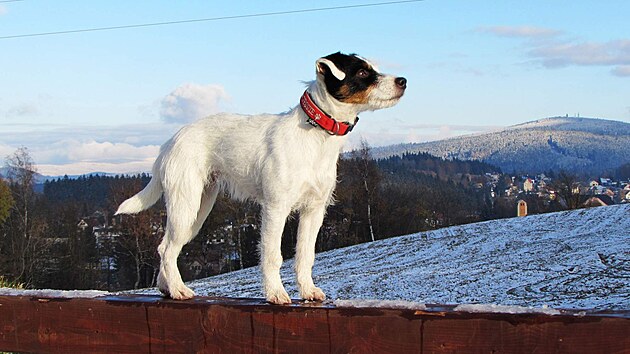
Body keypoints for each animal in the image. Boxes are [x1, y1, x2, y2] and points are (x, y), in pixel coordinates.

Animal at [115, 52, 408, 304]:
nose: (403, 81)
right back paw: (177, 290)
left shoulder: (314, 210)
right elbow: (272, 255)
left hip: (198, 211)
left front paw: (308, 290)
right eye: (362, 71)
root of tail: (169, 143)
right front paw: (275, 293)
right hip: (185, 204)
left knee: (167, 247)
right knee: (166, 248)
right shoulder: (275, 208)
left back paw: (166, 287)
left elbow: (305, 255)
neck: (316, 136)